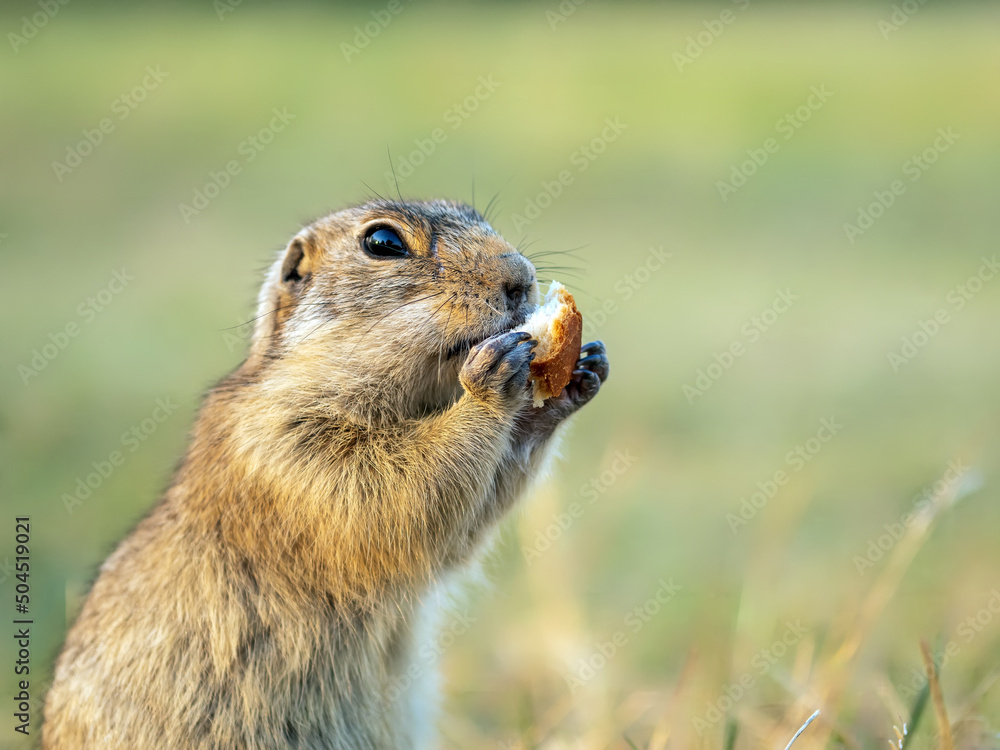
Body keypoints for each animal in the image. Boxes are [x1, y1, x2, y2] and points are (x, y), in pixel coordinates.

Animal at [43, 200, 608, 750]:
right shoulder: (279, 439)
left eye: (480, 216)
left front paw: (581, 371)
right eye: (382, 242)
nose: (522, 278)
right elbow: (385, 494)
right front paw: (491, 383)